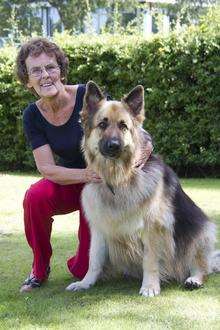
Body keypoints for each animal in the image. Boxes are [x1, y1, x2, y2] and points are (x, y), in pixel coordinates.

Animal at [65, 82, 220, 296]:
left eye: (123, 126)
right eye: (102, 124)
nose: (113, 145)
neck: (119, 179)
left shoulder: (153, 228)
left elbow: (150, 260)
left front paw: (150, 286)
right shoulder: (99, 228)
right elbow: (94, 259)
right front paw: (85, 282)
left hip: (199, 232)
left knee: (201, 266)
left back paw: (194, 279)